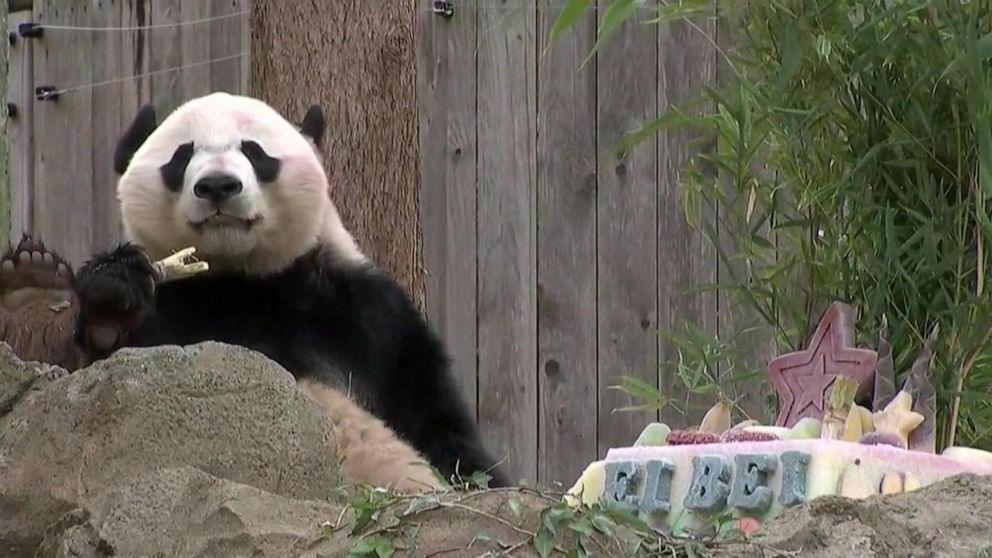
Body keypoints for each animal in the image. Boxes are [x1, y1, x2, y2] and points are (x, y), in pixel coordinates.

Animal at [56, 92, 504, 494]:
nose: (218, 185)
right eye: (182, 156)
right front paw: (113, 300)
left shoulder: (362, 313)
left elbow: (431, 409)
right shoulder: (177, 310)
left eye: (254, 151)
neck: (240, 277)